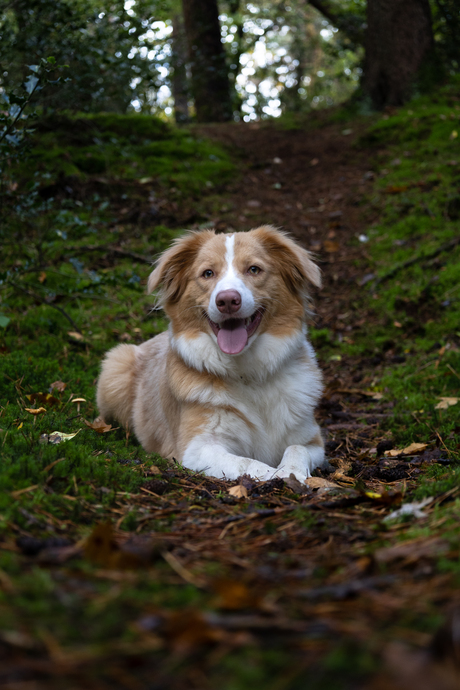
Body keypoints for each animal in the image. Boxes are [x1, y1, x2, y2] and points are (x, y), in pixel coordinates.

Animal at [96, 224, 326, 478]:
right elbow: (248, 463)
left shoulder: (312, 441)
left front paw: (292, 474)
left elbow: (296, 449)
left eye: (254, 269)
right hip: (117, 362)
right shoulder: (197, 448)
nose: (227, 300)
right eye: (207, 273)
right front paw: (274, 475)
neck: (249, 375)